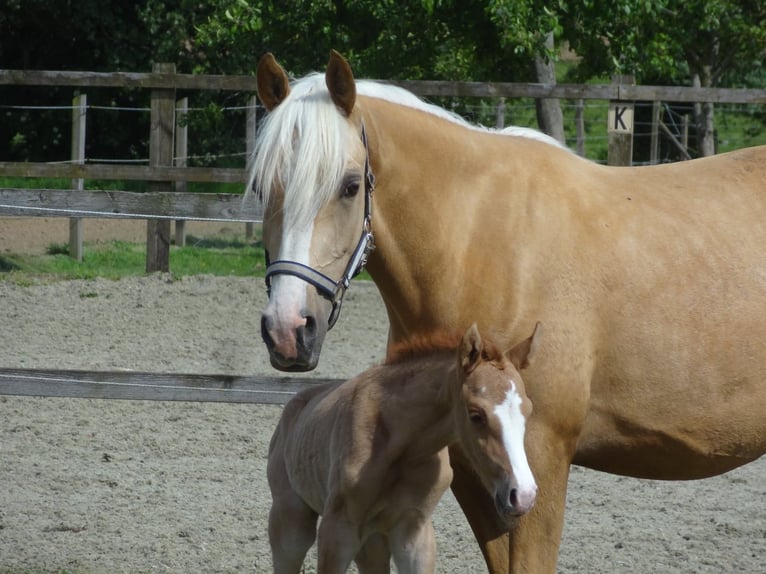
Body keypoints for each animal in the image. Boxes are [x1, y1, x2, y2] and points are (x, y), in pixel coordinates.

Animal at [268, 326, 544, 572]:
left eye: (529, 411)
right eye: (476, 415)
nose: (523, 496)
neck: (404, 448)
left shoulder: (414, 531)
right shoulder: (338, 530)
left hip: (372, 542)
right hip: (291, 526)